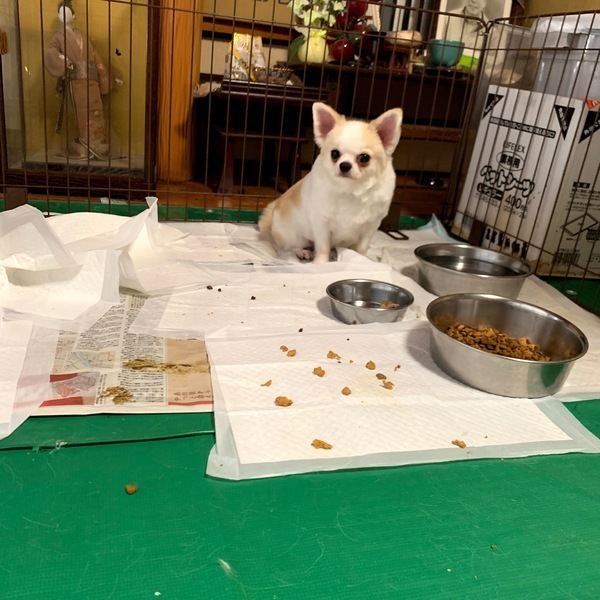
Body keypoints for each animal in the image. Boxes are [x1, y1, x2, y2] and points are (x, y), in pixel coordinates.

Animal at [258, 102, 403, 263]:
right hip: (294, 236)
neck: (351, 189)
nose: (344, 165)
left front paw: (361, 260)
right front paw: (321, 263)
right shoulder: (322, 223)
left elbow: (361, 249)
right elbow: (323, 246)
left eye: (364, 158)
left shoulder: (370, 227)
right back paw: (303, 252)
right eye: (334, 154)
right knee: (289, 247)